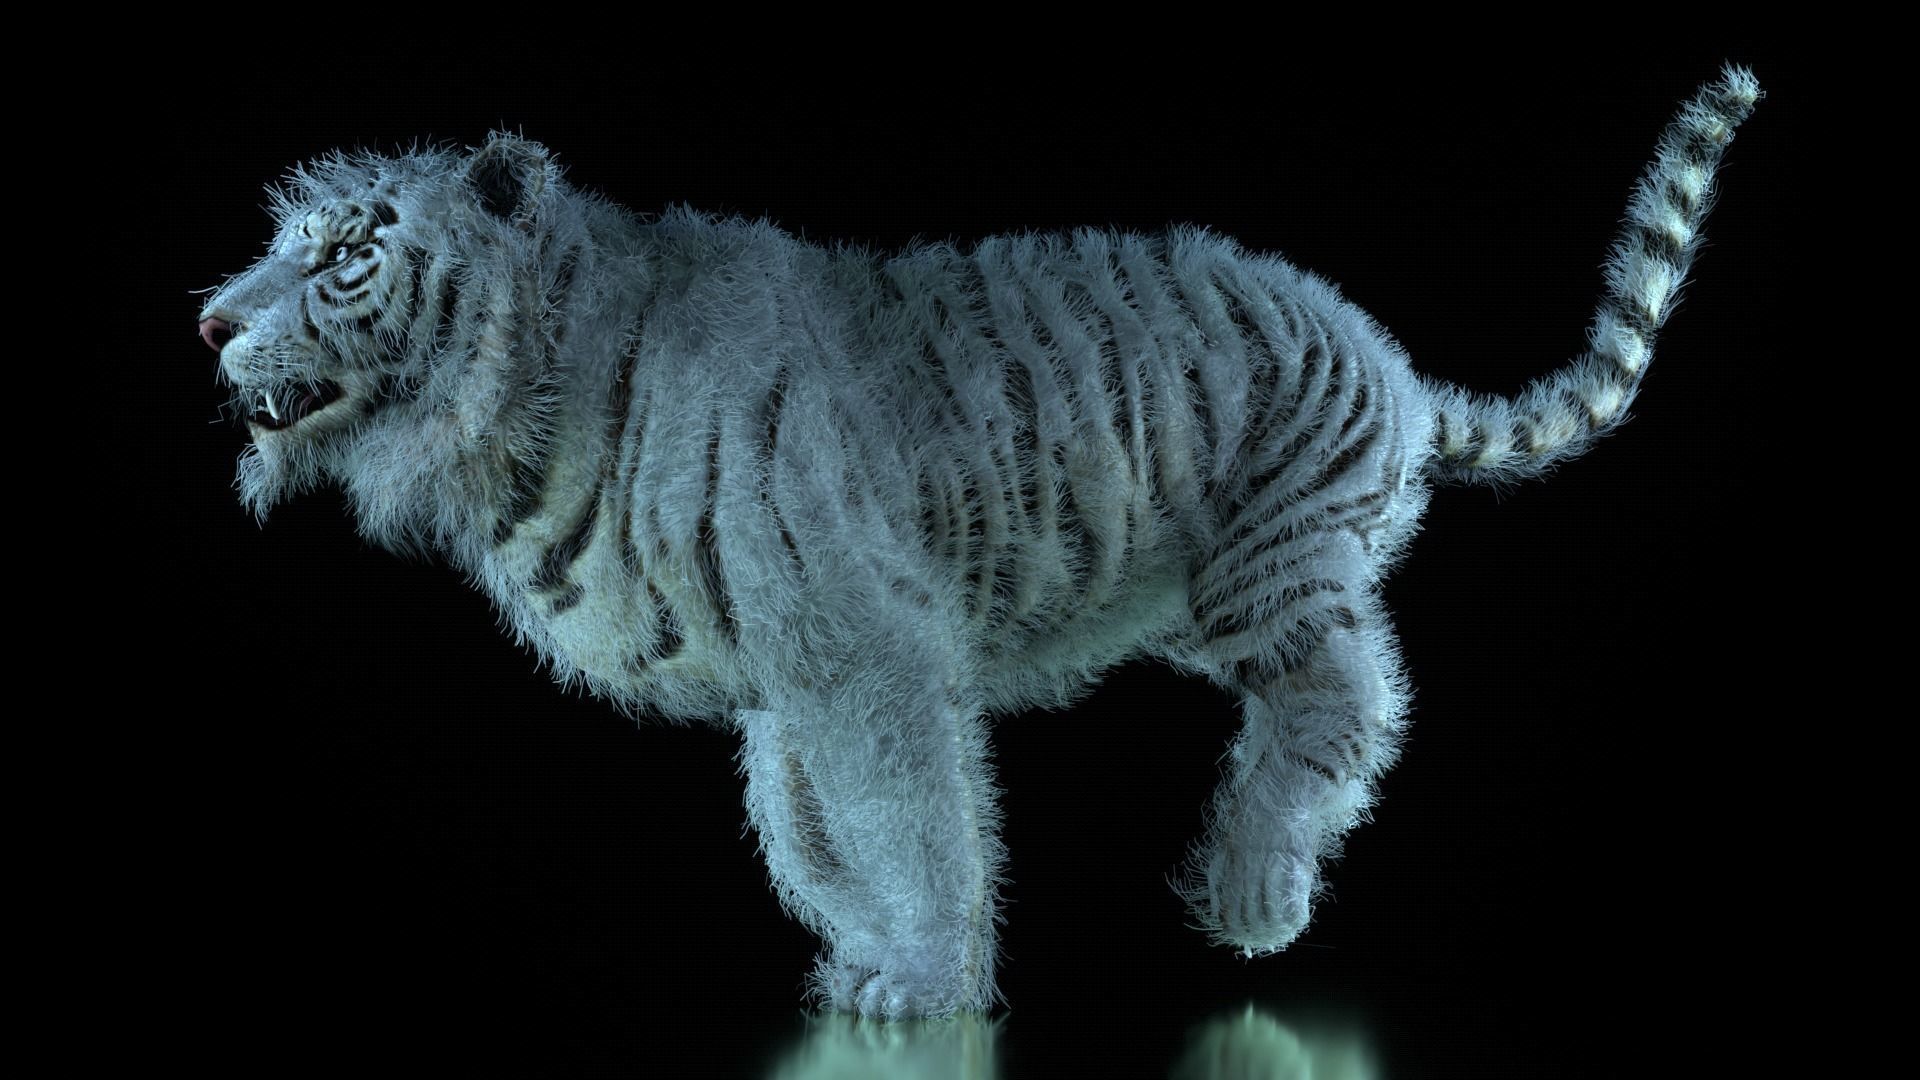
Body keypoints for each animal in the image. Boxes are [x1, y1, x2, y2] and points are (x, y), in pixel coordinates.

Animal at [195, 65, 1762, 1020]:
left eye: (348, 255)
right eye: (282, 242)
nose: (208, 321)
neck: (527, 396)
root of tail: (1390, 357)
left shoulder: (864, 651)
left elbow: (911, 816)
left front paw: (932, 983)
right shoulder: (788, 681)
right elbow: (809, 831)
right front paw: (867, 961)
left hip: (1271, 571)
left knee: (1349, 700)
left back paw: (1253, 888)